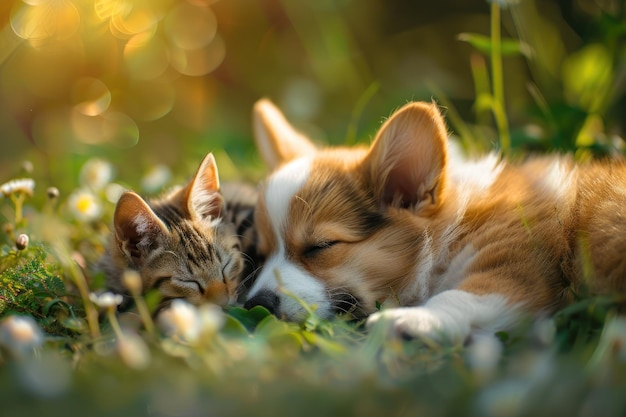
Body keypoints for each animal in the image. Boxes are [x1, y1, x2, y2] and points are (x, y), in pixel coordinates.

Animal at [243, 99, 624, 342]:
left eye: (319, 247)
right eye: (261, 253)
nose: (255, 305)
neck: (451, 229)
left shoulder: (517, 271)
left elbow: (456, 297)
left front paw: (413, 319)